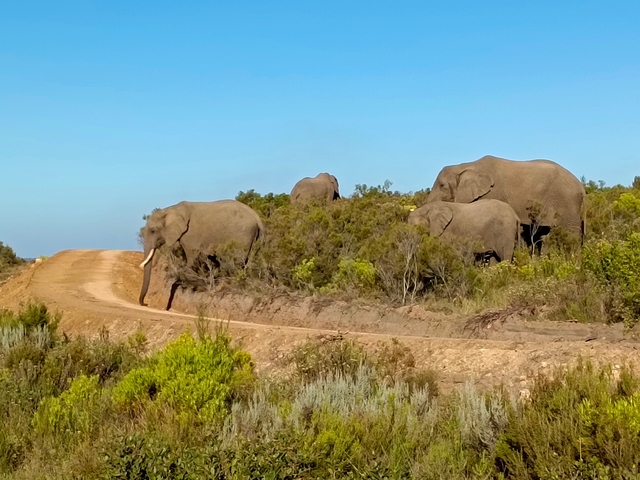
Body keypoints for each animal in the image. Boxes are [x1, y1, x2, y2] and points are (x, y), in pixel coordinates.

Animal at [427, 155, 586, 249]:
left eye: (442, 186)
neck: (464, 166)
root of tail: (582, 187)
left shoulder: (492, 192)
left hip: (567, 201)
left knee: (570, 232)